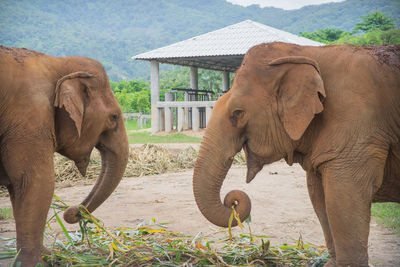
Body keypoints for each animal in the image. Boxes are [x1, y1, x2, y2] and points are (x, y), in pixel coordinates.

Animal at [0, 45, 128, 266]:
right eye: (113, 117)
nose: (71, 212)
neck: (58, 63)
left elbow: (20, 187)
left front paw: (49, 256)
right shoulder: (29, 117)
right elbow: (36, 182)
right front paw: (36, 262)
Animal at [193, 42, 400, 267]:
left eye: (237, 113)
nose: (233, 201)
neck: (305, 51)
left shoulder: (360, 125)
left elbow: (344, 197)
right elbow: (319, 196)